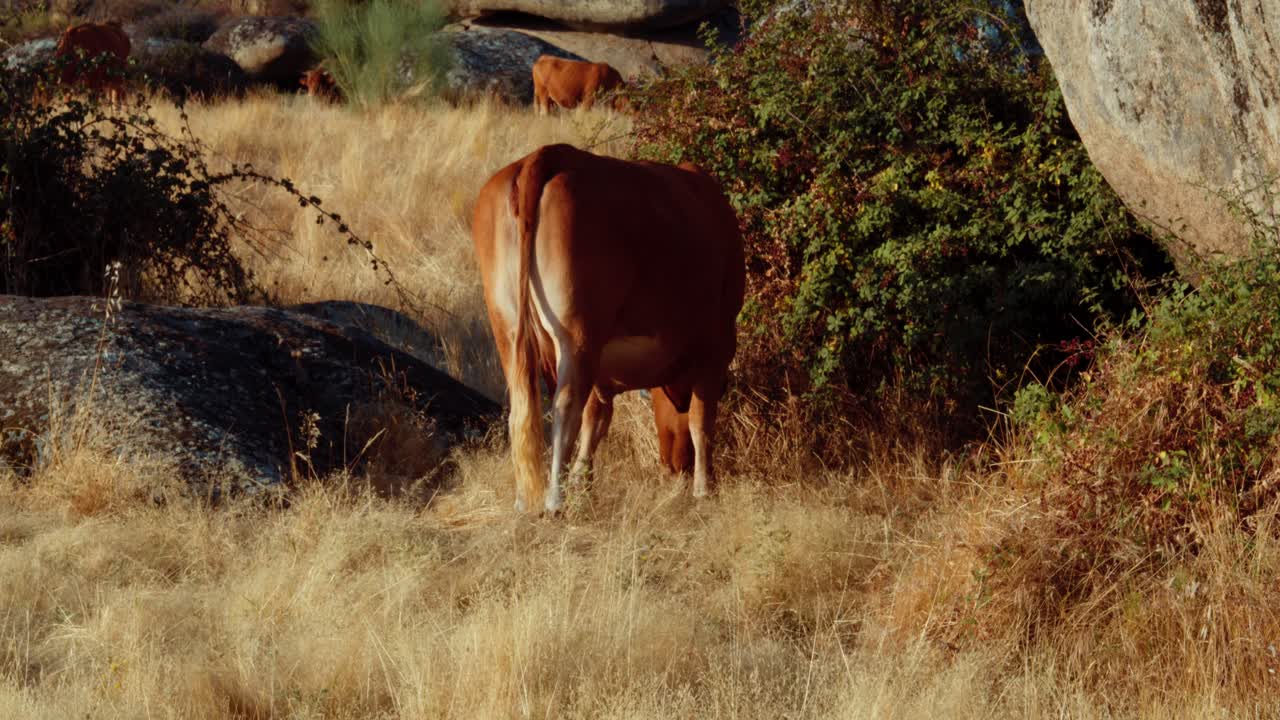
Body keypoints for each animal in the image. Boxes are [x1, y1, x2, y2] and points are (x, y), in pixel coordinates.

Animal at [472, 143, 745, 513]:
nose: (676, 466)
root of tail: (548, 155)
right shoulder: (715, 349)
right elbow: (701, 422)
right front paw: (705, 490)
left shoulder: (603, 373)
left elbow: (596, 420)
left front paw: (583, 484)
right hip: (576, 336)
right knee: (565, 406)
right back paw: (554, 501)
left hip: (508, 325)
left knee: (523, 406)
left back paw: (526, 501)